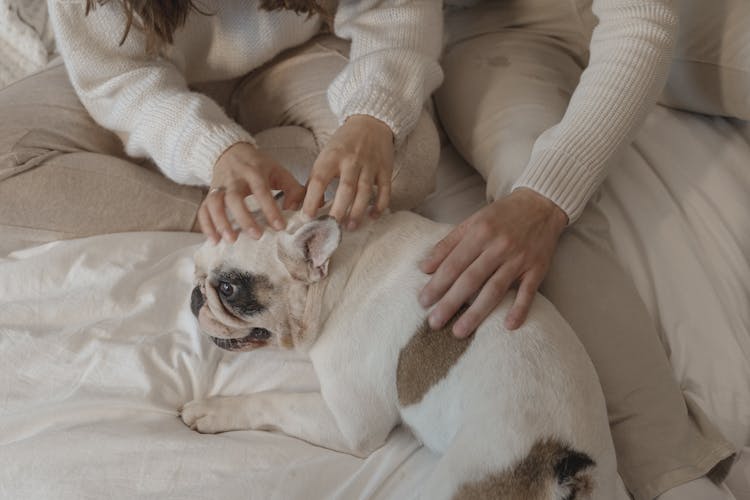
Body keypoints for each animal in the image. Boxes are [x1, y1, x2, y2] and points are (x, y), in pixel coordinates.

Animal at [181, 209, 616, 498]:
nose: (195, 293)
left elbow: (271, 401)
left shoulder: (350, 425)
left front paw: (212, 410)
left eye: (228, 289)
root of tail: (571, 466)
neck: (340, 273)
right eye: (197, 271)